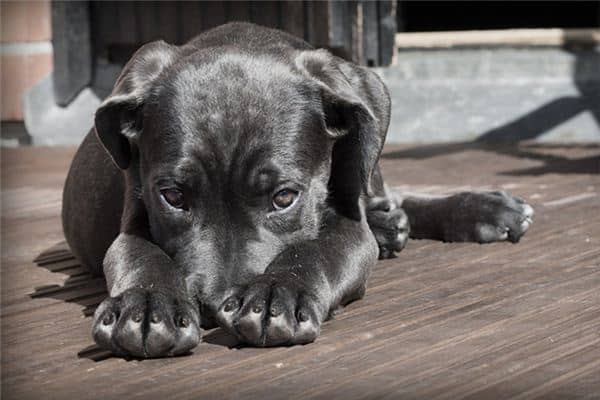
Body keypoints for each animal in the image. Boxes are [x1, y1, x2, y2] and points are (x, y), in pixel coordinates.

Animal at [62, 23, 536, 358]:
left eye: (284, 197)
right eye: (173, 197)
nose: (214, 307)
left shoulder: (349, 226)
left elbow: (316, 249)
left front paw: (278, 293)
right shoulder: (133, 218)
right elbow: (140, 255)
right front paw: (145, 305)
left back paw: (480, 210)